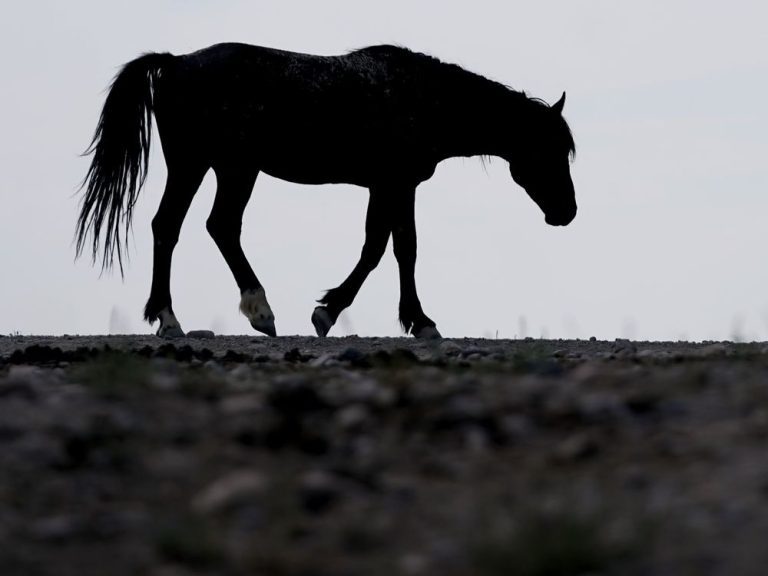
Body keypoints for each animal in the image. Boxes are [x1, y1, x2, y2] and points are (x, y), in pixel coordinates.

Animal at [76, 44, 576, 338]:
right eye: (549, 149)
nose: (567, 212)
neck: (422, 97)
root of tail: (176, 62)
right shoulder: (395, 184)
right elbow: (390, 250)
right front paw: (397, 319)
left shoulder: (391, 187)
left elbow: (390, 248)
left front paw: (377, 314)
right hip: (209, 167)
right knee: (189, 227)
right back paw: (208, 314)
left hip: (221, 168)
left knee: (201, 227)